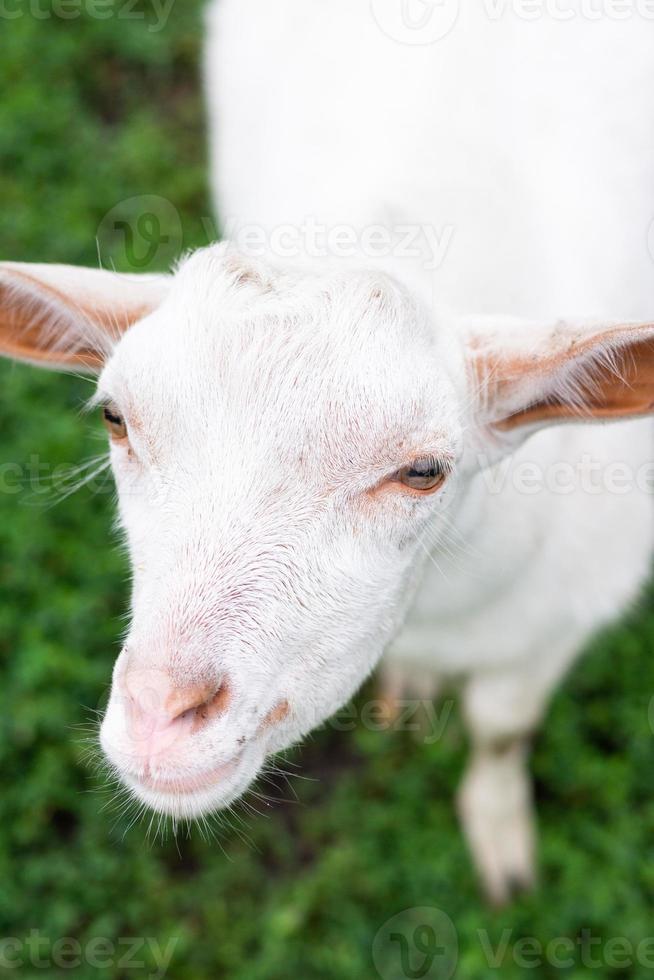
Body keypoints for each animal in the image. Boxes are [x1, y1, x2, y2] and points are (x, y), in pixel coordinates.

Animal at [0, 0, 652, 904]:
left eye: (423, 471)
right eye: (116, 419)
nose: (162, 718)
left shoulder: (565, 612)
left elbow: (501, 726)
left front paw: (501, 840)